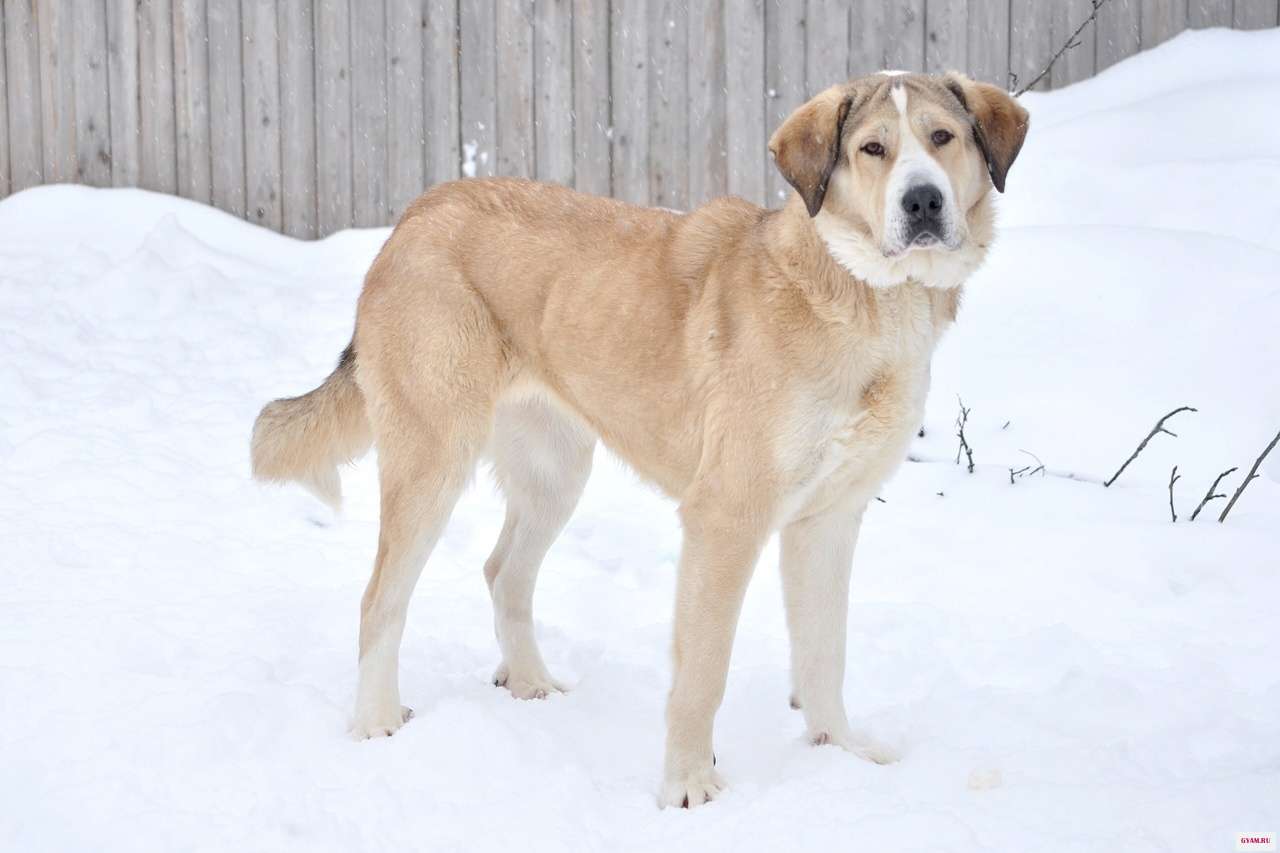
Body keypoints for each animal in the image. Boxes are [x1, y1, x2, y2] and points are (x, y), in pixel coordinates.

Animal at [251, 71, 1028, 808]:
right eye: (873, 149)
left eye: (941, 137)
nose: (922, 202)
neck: (866, 295)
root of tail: (415, 212)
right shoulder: (726, 519)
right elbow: (705, 672)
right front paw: (688, 787)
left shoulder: (829, 521)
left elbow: (823, 654)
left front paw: (839, 751)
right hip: (433, 460)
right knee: (380, 600)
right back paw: (376, 723)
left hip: (556, 473)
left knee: (504, 573)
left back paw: (530, 683)